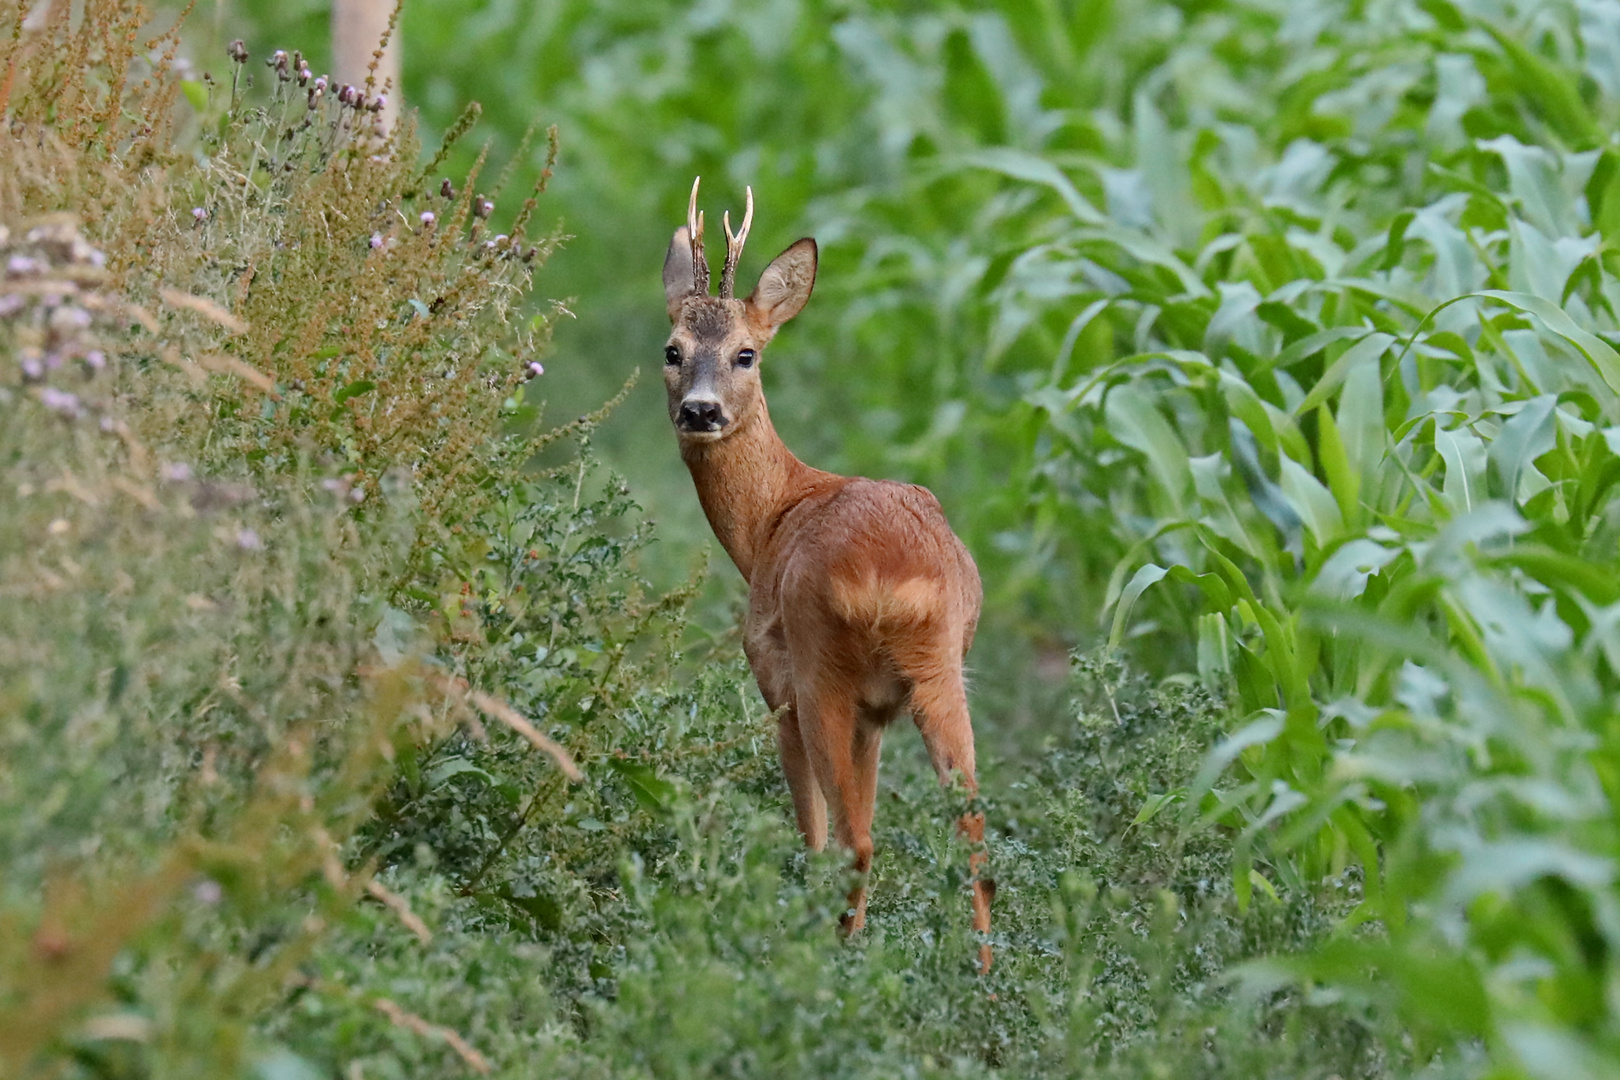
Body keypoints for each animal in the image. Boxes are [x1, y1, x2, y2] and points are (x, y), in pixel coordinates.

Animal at [664, 177, 991, 971]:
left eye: (747, 354)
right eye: (672, 350)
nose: (700, 410)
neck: (770, 518)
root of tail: (891, 578)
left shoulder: (774, 677)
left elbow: (812, 827)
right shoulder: (876, 714)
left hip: (821, 668)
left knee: (852, 840)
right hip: (939, 668)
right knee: (970, 833)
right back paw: (981, 970)